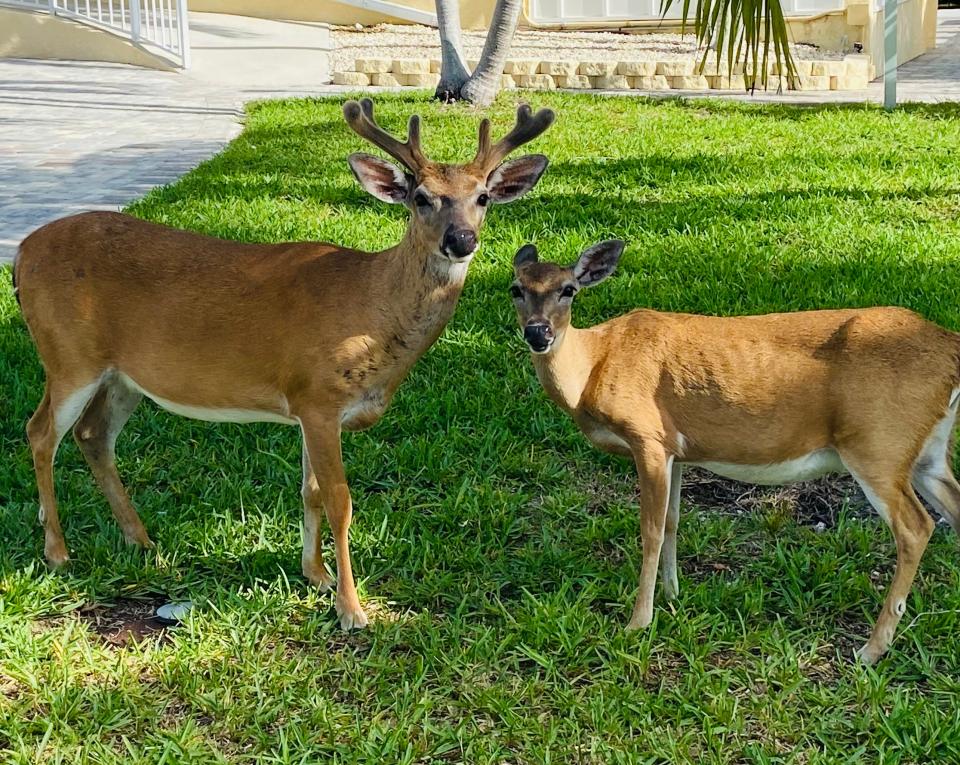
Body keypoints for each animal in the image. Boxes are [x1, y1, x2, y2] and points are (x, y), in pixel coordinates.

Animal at [13, 98, 556, 628]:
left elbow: (310, 491)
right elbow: (339, 500)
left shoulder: (307, 407)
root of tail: (20, 253)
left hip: (123, 376)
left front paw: (316, 576)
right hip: (68, 354)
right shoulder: (318, 397)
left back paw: (143, 542)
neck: (372, 306)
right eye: (421, 197)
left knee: (92, 435)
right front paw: (353, 609)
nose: (461, 240)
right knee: (40, 432)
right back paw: (59, 552)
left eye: (482, 197)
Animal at [510, 240, 960, 664]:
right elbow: (673, 521)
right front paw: (673, 595)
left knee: (916, 527)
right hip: (925, 451)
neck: (593, 367)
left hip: (877, 442)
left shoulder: (647, 435)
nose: (538, 333)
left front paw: (638, 622)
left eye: (568, 290)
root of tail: (949, 347)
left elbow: (650, 529)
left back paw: (871, 649)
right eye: (516, 288)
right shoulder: (675, 448)